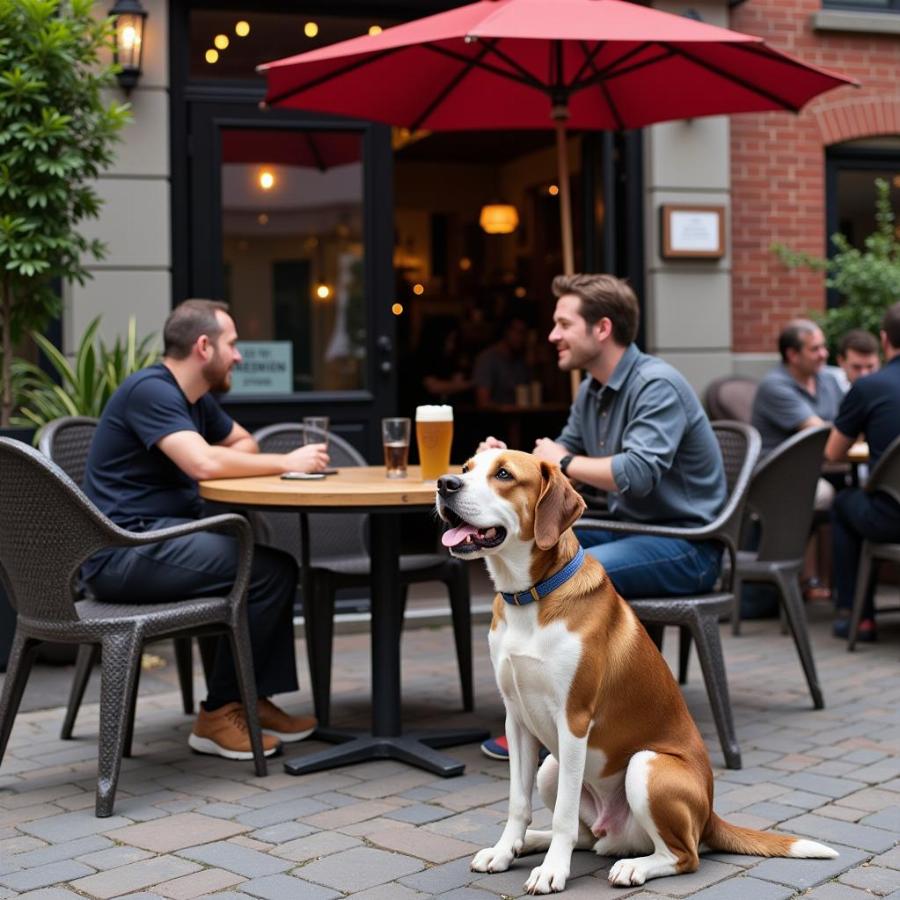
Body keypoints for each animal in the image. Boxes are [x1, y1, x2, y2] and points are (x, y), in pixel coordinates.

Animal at [436, 450, 836, 892]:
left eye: (504, 474)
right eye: (466, 469)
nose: (445, 484)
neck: (531, 596)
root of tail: (710, 814)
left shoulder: (574, 720)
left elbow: (563, 816)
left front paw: (553, 872)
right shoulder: (517, 719)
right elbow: (518, 803)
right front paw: (506, 850)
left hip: (647, 766)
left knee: (683, 855)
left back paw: (634, 867)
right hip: (550, 767)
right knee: (587, 836)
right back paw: (534, 842)